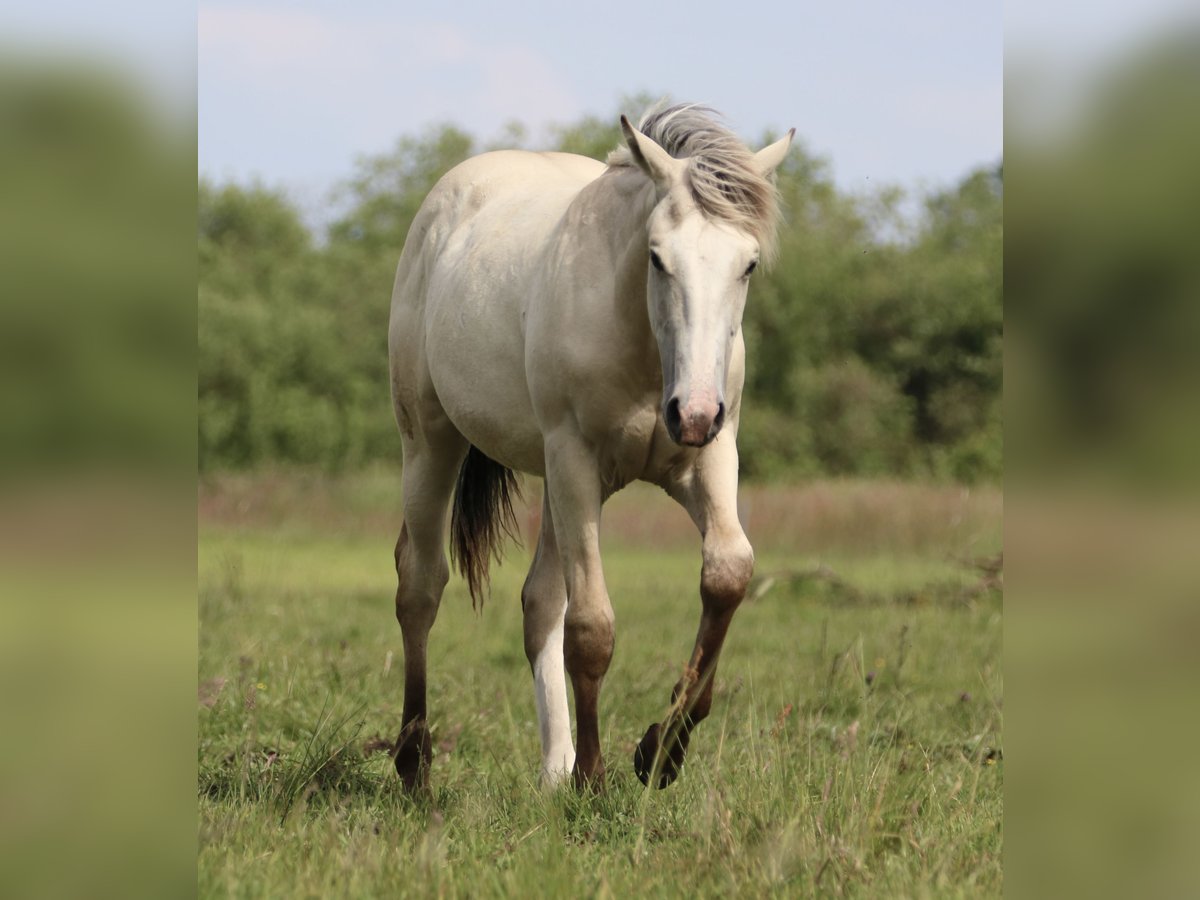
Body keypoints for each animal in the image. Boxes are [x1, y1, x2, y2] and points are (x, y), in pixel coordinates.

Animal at [388, 105, 792, 792]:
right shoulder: (576, 462)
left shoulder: (708, 459)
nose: (694, 412)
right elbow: (592, 627)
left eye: (749, 264)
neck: (644, 350)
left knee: (538, 603)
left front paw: (660, 750)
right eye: (658, 258)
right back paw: (416, 764)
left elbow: (728, 574)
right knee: (420, 584)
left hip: (554, 482)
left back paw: (555, 770)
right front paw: (596, 778)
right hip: (433, 444)